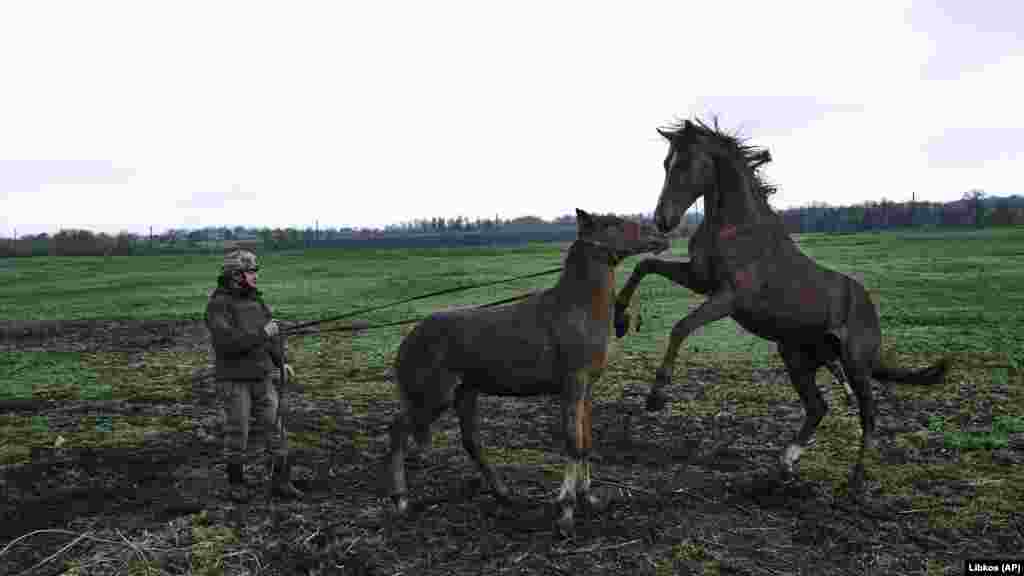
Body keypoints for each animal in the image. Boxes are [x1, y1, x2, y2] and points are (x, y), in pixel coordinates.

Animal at [387, 208, 667, 528]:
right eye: (613, 224)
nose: (660, 235)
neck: (577, 309)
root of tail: (408, 340)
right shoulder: (572, 384)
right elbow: (572, 442)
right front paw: (566, 509)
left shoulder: (587, 388)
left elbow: (585, 442)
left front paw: (589, 498)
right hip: (433, 397)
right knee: (398, 431)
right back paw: (401, 500)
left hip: (465, 394)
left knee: (471, 442)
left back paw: (503, 494)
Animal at [610, 118, 946, 491]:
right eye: (666, 163)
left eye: (685, 164)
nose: (662, 220)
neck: (737, 228)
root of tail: (867, 306)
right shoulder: (700, 280)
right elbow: (645, 266)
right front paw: (620, 320)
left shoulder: (729, 298)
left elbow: (681, 327)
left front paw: (656, 396)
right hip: (798, 357)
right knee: (818, 407)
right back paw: (786, 464)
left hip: (854, 364)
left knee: (868, 415)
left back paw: (855, 481)